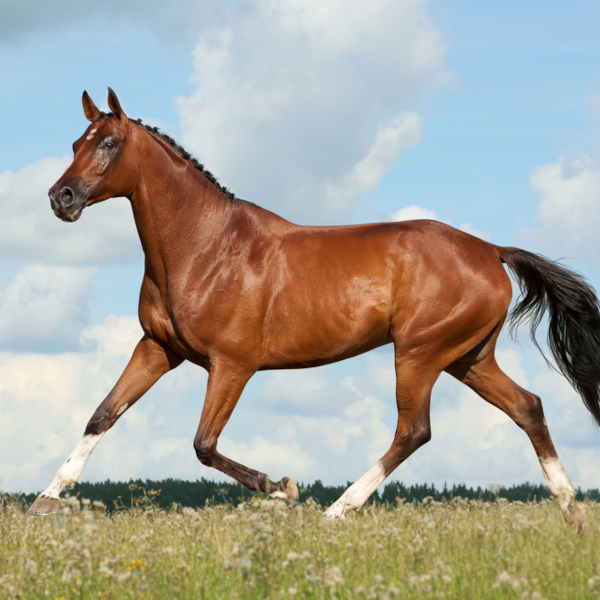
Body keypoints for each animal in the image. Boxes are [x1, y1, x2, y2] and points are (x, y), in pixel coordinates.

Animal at [29, 86, 600, 532]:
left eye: (109, 143)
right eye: (76, 143)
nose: (61, 197)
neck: (204, 247)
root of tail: (491, 251)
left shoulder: (232, 365)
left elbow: (203, 444)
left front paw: (283, 487)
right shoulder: (157, 348)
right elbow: (102, 414)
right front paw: (44, 502)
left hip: (420, 353)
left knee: (413, 431)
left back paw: (336, 511)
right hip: (468, 357)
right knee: (528, 408)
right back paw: (572, 515)